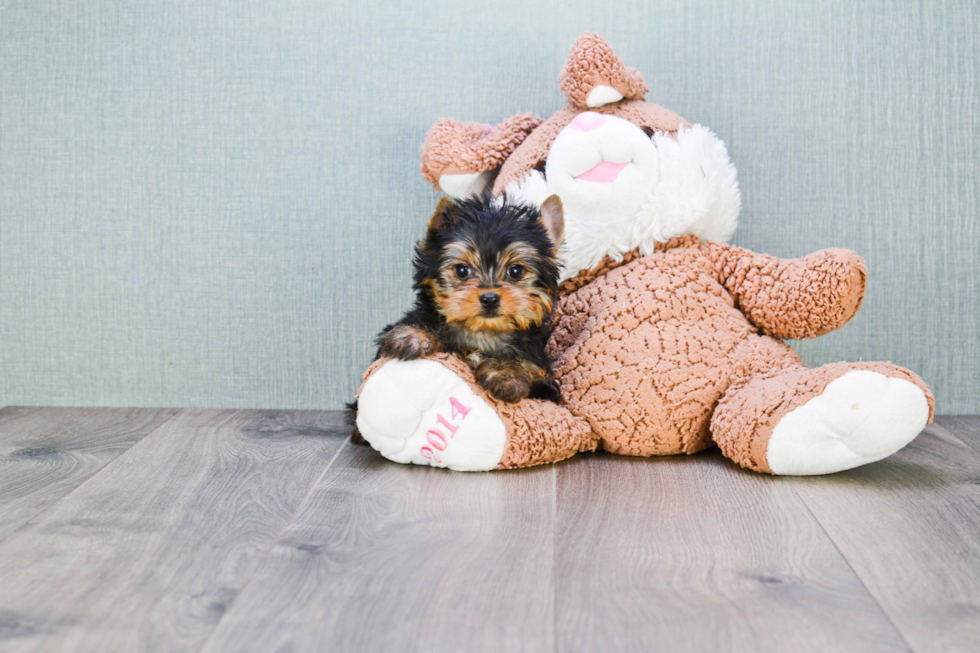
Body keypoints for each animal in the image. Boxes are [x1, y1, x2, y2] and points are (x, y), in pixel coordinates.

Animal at [348, 191, 564, 440]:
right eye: (462, 270)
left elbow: (527, 367)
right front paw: (412, 336)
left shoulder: (543, 378)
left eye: (516, 271)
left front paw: (506, 373)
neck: (482, 333)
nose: (489, 298)